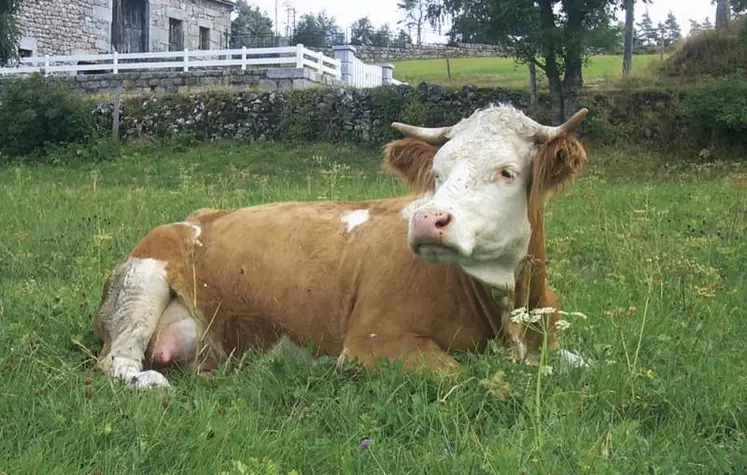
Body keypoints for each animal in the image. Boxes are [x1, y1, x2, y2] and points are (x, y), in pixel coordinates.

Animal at [92, 103, 592, 386]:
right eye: (437, 173)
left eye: (507, 172)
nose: (427, 220)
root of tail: (196, 217)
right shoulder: (375, 342)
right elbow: (473, 377)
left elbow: (584, 364)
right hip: (141, 281)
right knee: (118, 362)